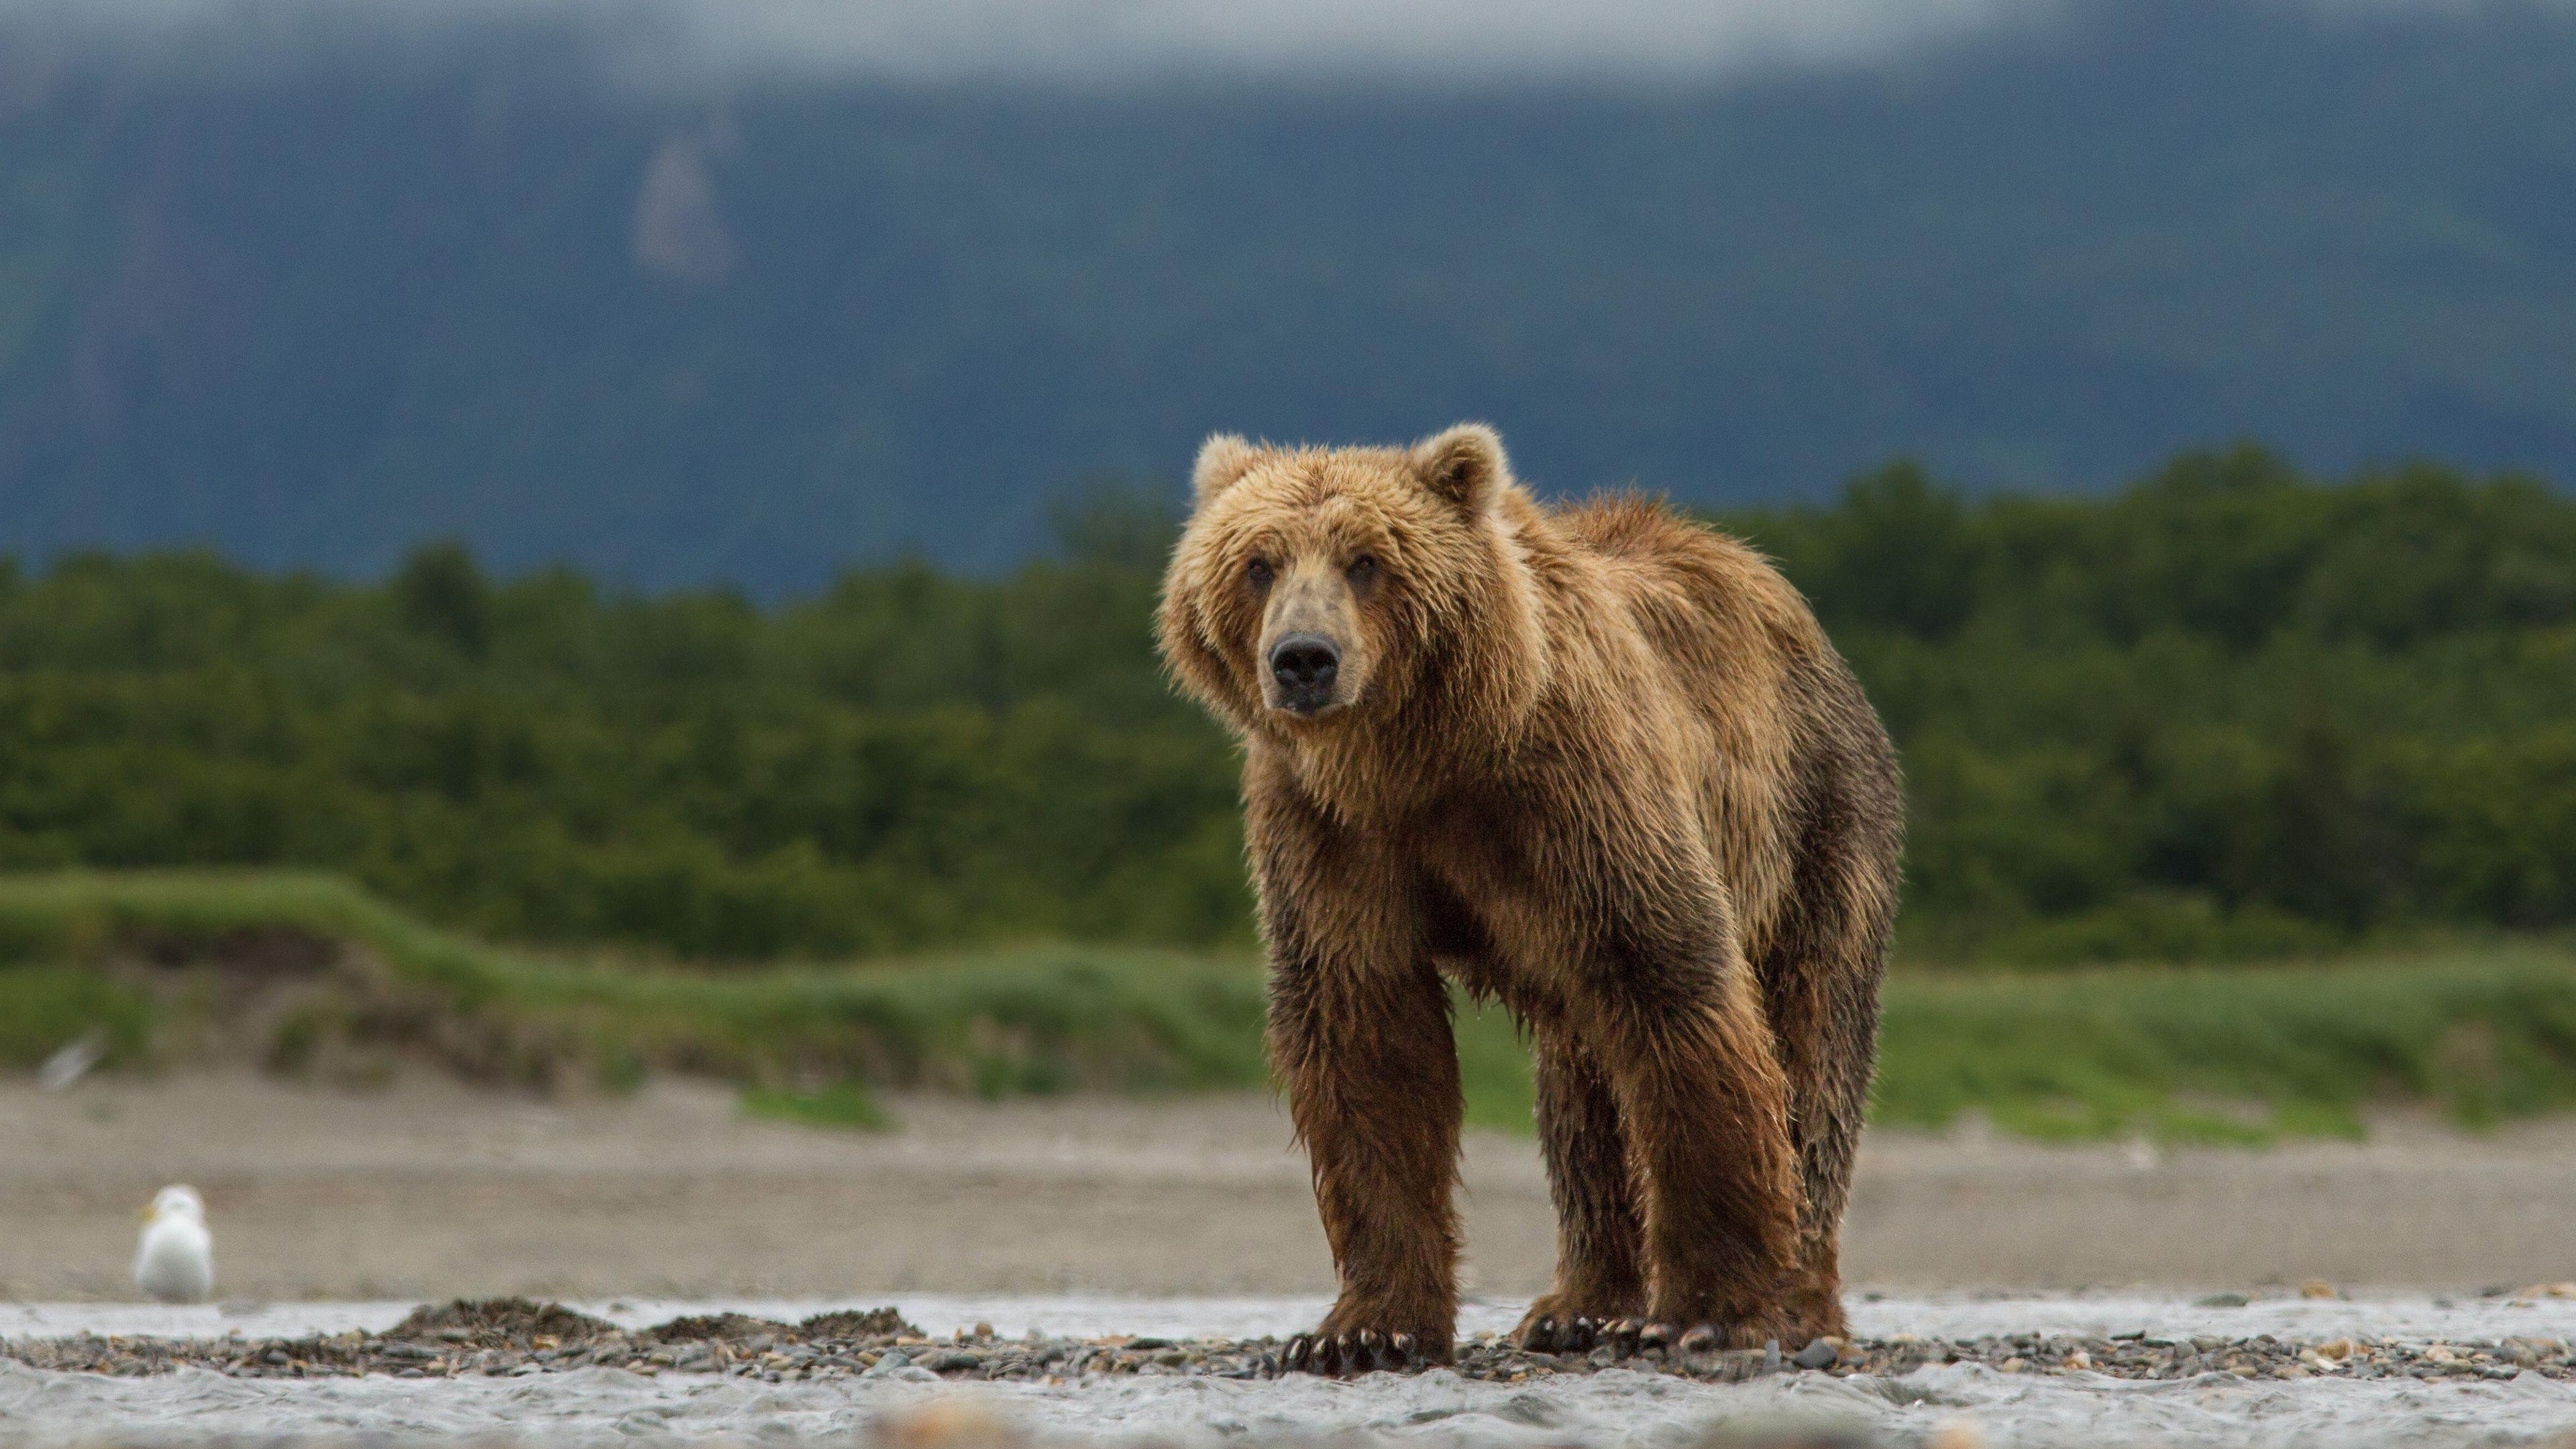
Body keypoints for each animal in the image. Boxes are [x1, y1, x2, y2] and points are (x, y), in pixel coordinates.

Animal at [1159, 423, 1906, 1371]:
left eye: (1367, 561)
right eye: (1258, 562)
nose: (1303, 660)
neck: (1420, 763)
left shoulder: (1574, 793)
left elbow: (1676, 986)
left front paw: (1708, 1311)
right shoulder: (1328, 835)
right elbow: (1365, 1037)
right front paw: (1363, 1329)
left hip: (1816, 819)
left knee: (1813, 1046)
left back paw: (1799, 1303)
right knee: (1582, 1098)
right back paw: (1578, 1306)